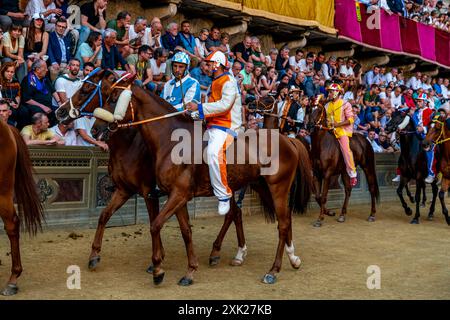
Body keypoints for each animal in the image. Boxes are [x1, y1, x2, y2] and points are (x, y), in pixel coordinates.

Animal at [55, 70, 250, 278]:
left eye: (85, 89)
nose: (60, 112)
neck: (129, 144)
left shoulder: (150, 192)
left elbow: (154, 221)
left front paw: (157, 261)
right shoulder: (124, 189)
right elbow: (104, 216)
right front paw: (94, 256)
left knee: (232, 213)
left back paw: (229, 253)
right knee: (235, 213)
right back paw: (226, 253)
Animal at [88, 79, 312, 284]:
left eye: (114, 99)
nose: (95, 129)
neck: (170, 141)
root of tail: (288, 139)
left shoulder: (172, 194)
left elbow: (155, 225)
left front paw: (158, 269)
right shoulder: (165, 194)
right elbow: (185, 231)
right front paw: (189, 270)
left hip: (278, 188)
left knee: (282, 223)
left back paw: (273, 270)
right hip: (261, 186)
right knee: (268, 217)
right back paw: (291, 258)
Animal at [302, 98, 380, 228]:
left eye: (319, 109)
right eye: (308, 108)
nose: (309, 125)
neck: (321, 145)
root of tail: (366, 140)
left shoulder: (327, 174)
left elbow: (323, 196)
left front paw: (320, 219)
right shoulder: (316, 174)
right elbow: (318, 196)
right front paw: (329, 212)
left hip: (367, 167)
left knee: (372, 188)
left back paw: (372, 215)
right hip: (345, 171)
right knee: (348, 190)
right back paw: (342, 215)